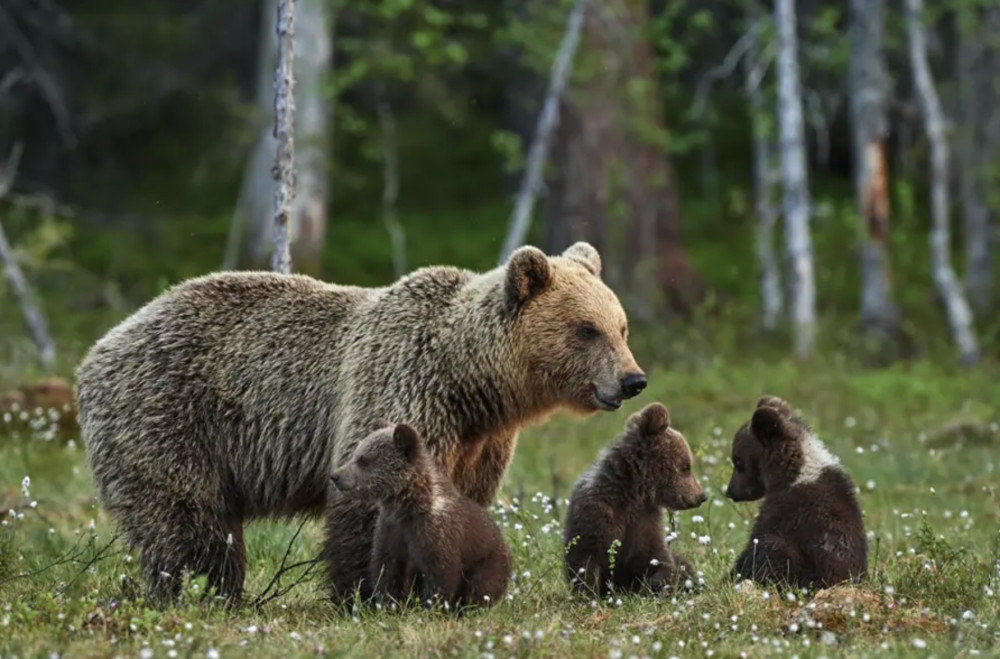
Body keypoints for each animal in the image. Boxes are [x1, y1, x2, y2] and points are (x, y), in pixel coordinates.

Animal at [330, 421, 510, 611]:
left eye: (363, 460)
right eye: (355, 454)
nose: (335, 476)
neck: (408, 506)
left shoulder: (436, 533)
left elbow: (440, 575)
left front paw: (431, 607)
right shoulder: (390, 530)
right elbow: (387, 570)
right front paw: (388, 605)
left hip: (488, 562)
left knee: (481, 587)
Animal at [563, 402, 707, 597]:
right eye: (686, 466)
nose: (702, 496)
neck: (633, 493)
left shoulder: (645, 520)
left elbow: (655, 556)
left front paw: (661, 584)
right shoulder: (596, 513)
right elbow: (585, 558)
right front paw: (587, 593)